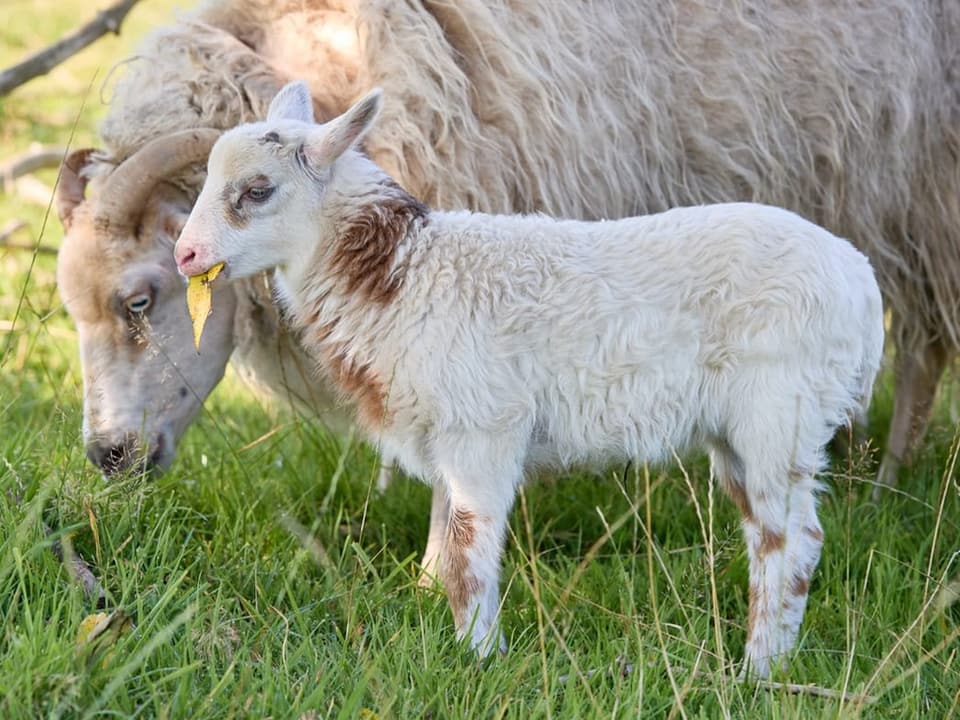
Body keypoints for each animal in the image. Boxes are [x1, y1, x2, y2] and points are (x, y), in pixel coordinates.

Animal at [174, 84, 884, 676]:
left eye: (257, 191)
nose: (185, 254)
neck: (402, 276)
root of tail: (862, 283)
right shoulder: (446, 433)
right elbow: (446, 548)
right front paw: (450, 636)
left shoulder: (484, 428)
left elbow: (468, 555)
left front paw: (478, 658)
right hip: (746, 430)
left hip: (780, 411)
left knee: (789, 543)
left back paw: (757, 672)